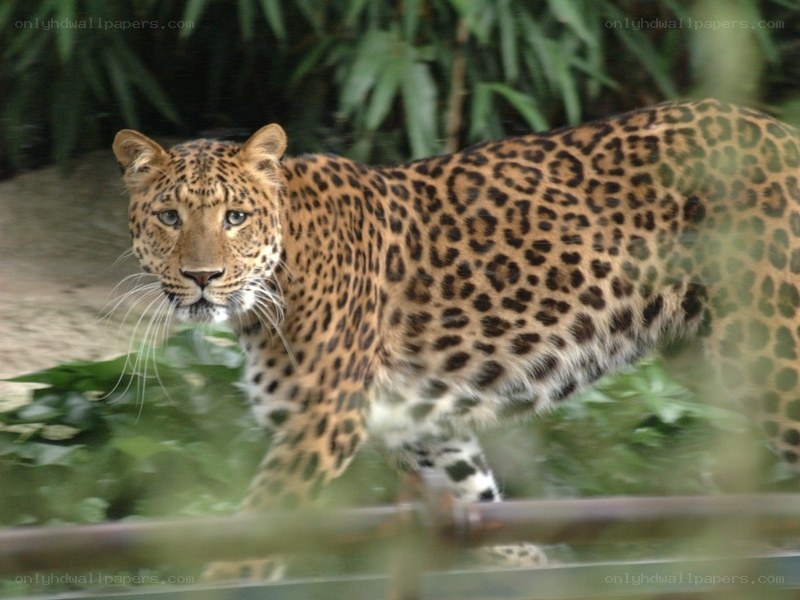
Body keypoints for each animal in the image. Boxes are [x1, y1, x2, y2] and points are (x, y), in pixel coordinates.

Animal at [113, 98, 800, 579]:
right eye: (169, 216)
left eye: (236, 217)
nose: (202, 277)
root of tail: (779, 131)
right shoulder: (422, 430)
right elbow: (486, 514)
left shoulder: (322, 423)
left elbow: (250, 544)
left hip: (771, 358)